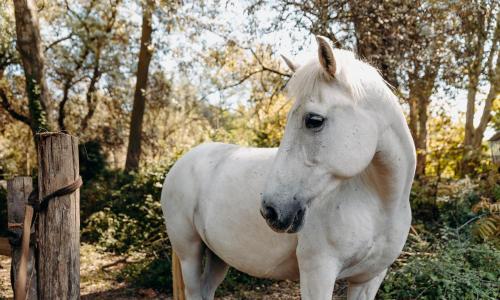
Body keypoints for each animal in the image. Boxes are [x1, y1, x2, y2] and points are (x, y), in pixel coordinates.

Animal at [162, 35, 416, 300]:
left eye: (313, 120)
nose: (270, 211)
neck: (380, 205)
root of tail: (183, 161)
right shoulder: (318, 273)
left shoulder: (368, 279)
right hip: (189, 253)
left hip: (218, 256)